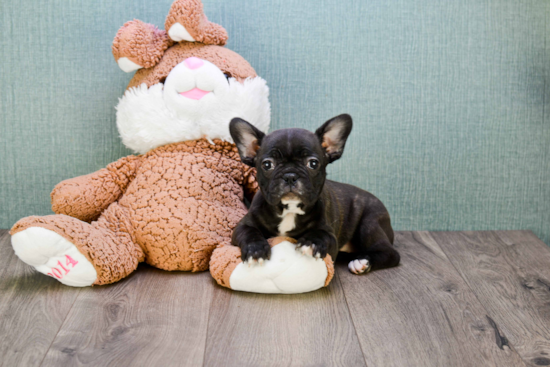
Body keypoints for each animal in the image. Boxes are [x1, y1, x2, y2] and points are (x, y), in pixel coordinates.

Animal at [229, 113, 402, 274]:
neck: (289, 210)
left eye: (313, 163)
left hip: (369, 223)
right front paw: (255, 250)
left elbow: (321, 235)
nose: (290, 175)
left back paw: (362, 261)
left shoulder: (330, 235)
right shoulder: (243, 225)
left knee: (391, 253)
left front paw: (310, 243)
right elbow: (249, 232)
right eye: (267, 164)